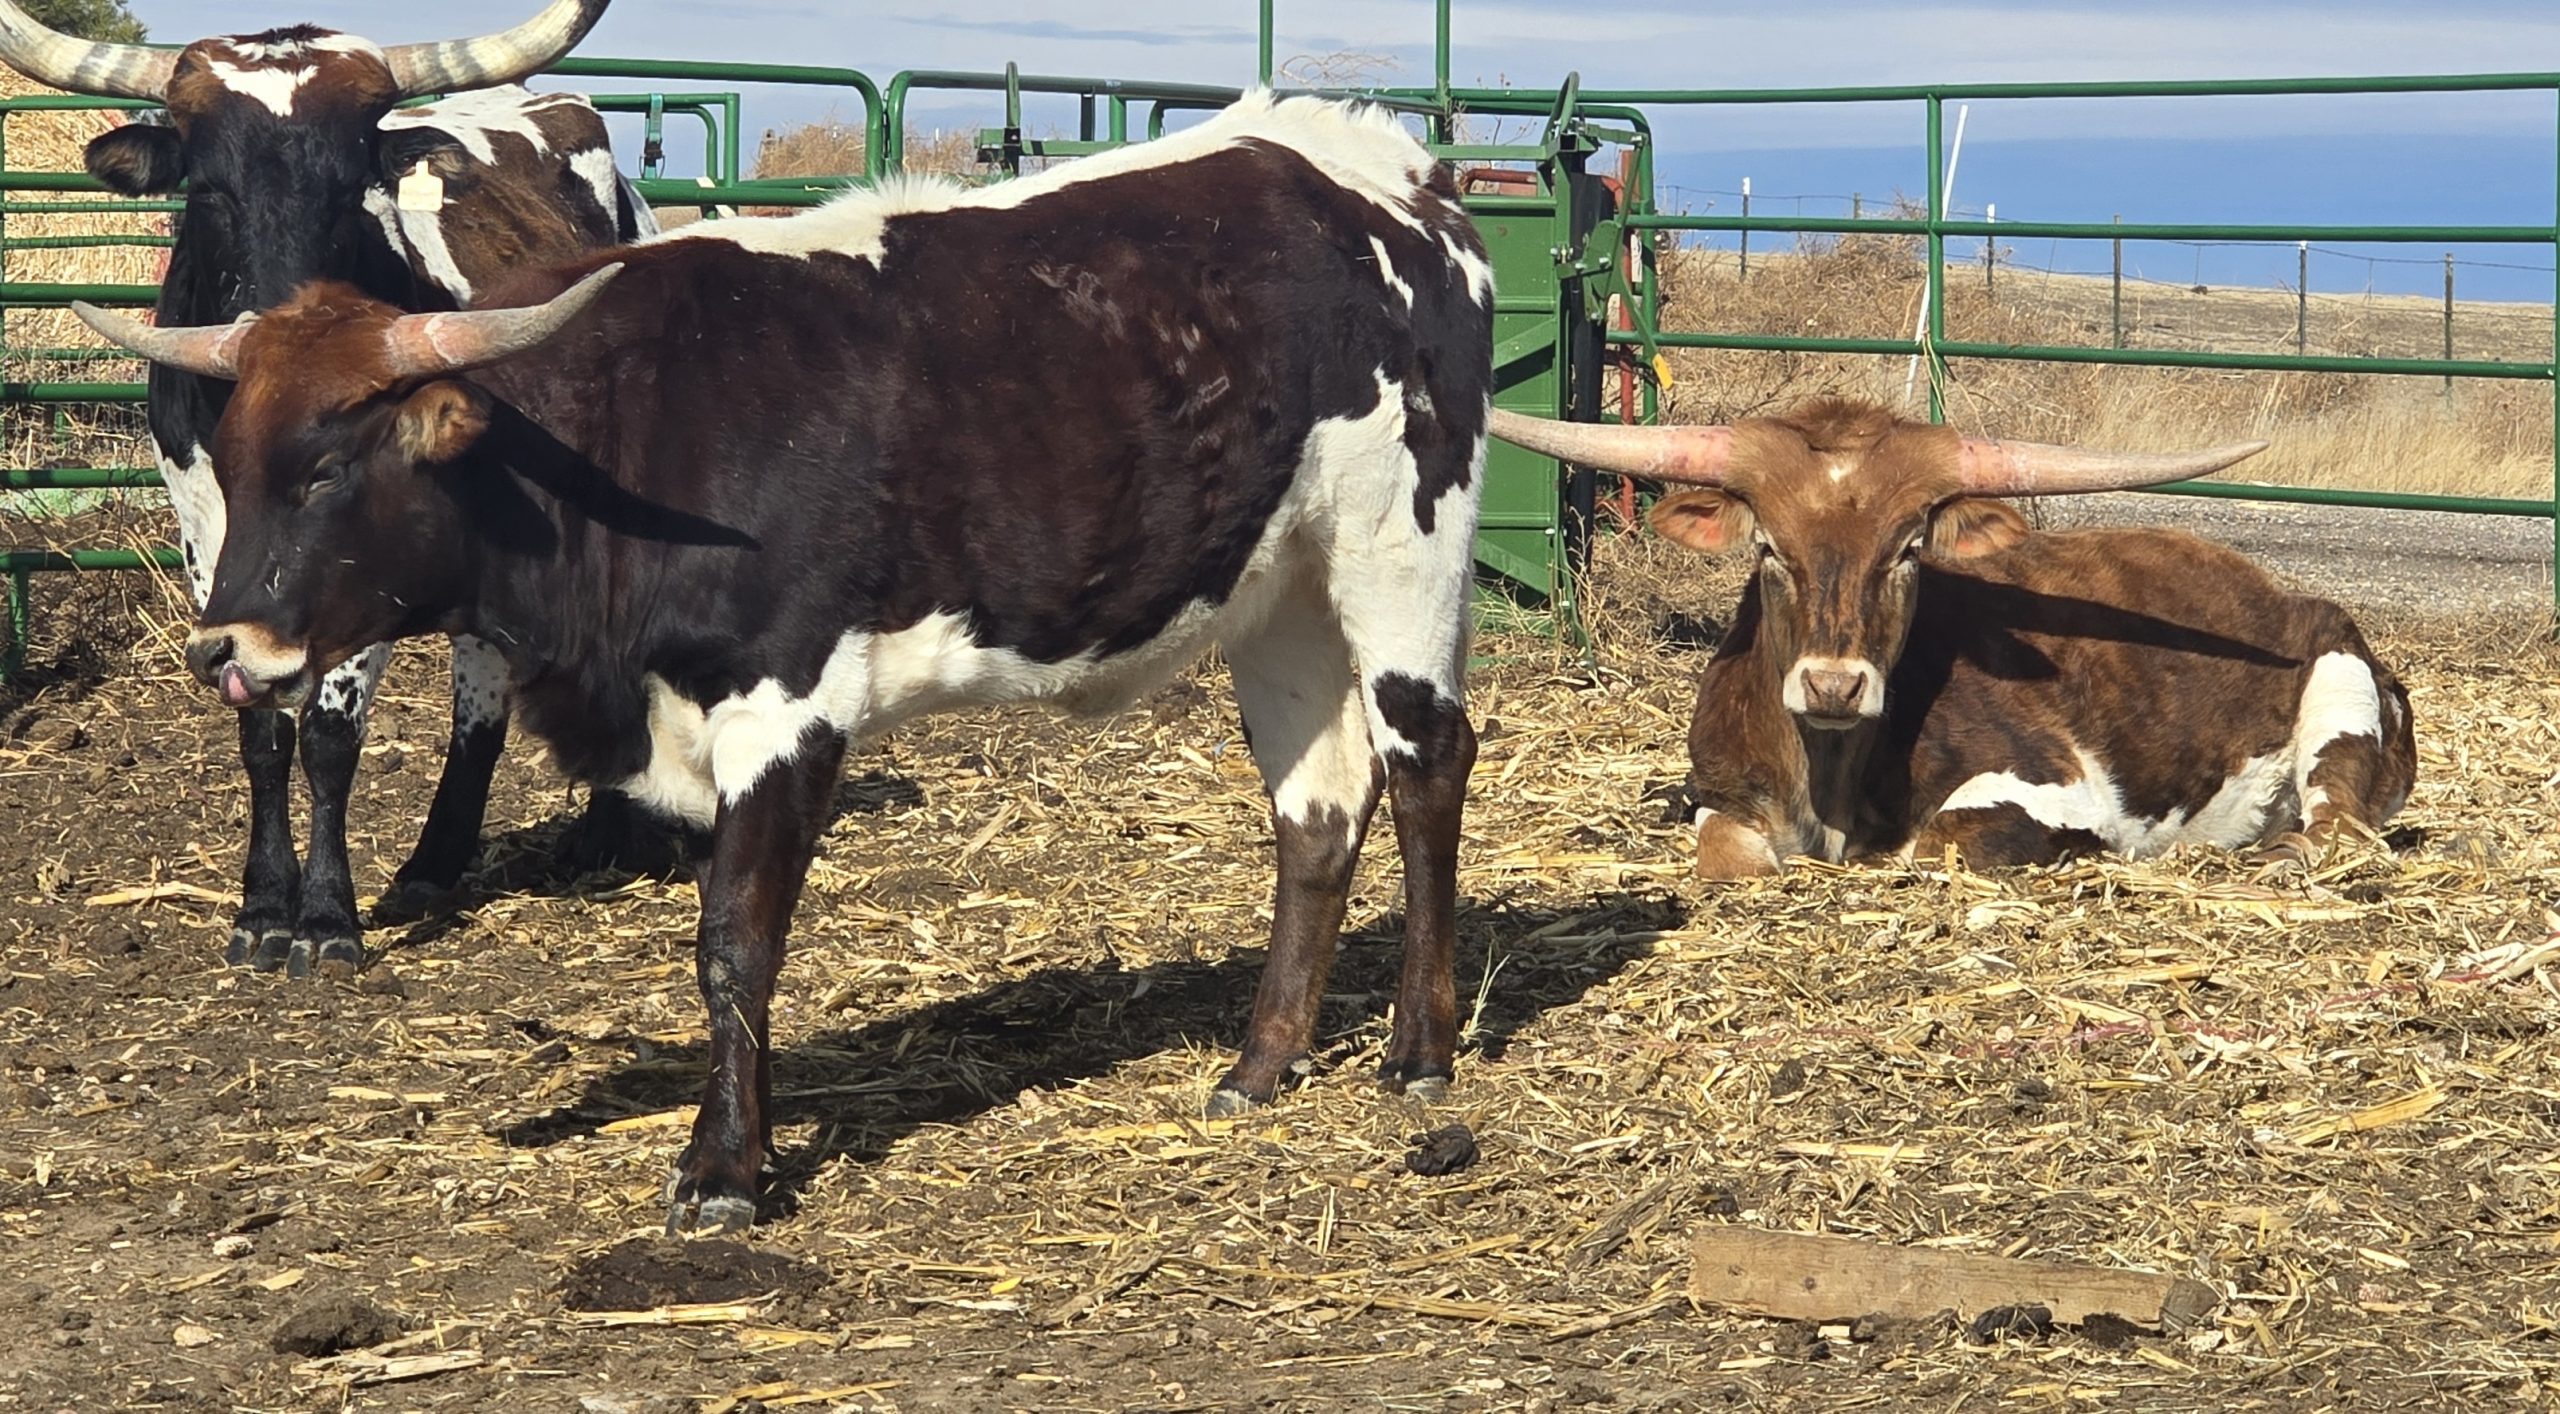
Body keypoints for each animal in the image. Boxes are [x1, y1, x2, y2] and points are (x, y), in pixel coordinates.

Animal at [0, 0, 656, 978]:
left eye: (354, 187)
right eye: (207, 188)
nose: (287, 347)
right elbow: (260, 726)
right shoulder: (207, 537)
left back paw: (599, 831)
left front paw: (323, 917)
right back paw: (434, 863)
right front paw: (261, 906)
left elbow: (327, 733)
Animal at [80, 92, 1494, 1233]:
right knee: (1317, 807)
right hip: (1278, 587)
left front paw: (725, 1169)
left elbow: (734, 944)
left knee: (1427, 763)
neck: (636, 430)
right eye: (226, 460)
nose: (223, 646)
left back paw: (1418, 1049)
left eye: (327, 468)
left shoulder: (790, 706)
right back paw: (1264, 1061)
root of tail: (1387, 168)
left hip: (1399, 541)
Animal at [1486, 398, 2416, 876]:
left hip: (2338, 693)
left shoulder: (2062, 788)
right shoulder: (1725, 796)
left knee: (2337, 832)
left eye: (1907, 549)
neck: (1826, 777)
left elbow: (1938, 843)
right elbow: (1726, 853)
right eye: (1769, 548)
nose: (1833, 684)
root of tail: (2283, 595)